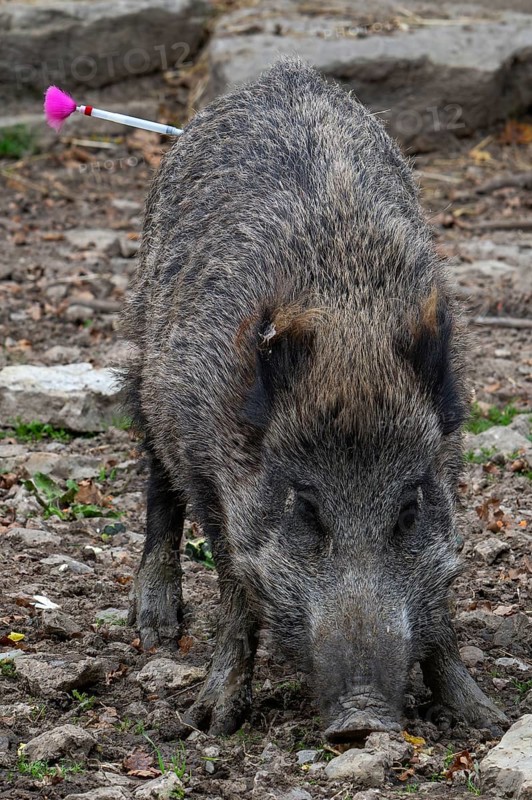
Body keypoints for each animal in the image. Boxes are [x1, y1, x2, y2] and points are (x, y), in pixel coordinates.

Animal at [121, 59, 508, 740]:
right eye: (304, 507)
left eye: (408, 508)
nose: (361, 720)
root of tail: (282, 72)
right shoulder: (207, 462)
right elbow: (236, 582)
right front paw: (211, 722)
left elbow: (438, 595)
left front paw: (485, 718)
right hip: (148, 368)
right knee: (157, 482)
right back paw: (158, 630)